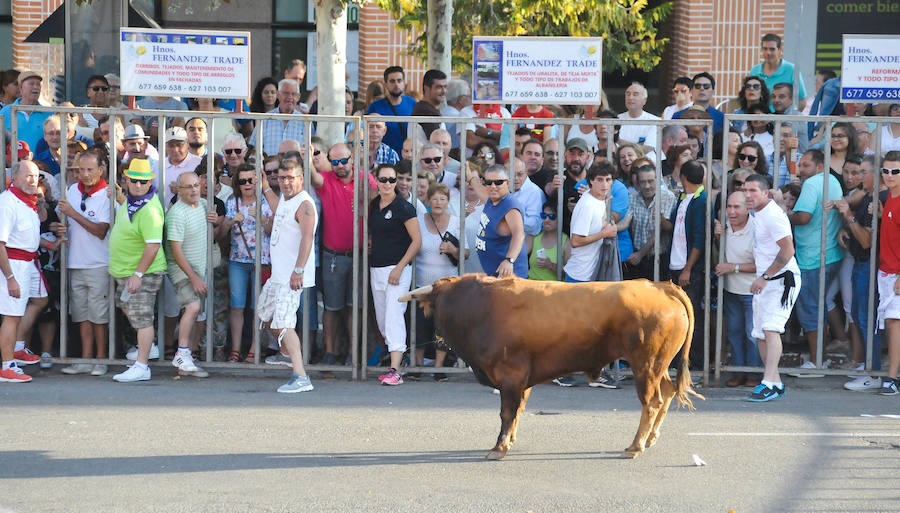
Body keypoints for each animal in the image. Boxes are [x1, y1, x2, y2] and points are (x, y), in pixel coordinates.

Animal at [400, 274, 704, 458]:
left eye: (436, 305)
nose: (436, 340)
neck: (481, 306)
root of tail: (659, 286)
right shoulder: (522, 381)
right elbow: (518, 411)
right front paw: (509, 441)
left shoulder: (511, 376)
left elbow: (507, 412)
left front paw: (499, 446)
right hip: (658, 365)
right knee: (667, 392)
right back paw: (650, 439)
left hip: (646, 365)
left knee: (651, 402)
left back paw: (636, 445)